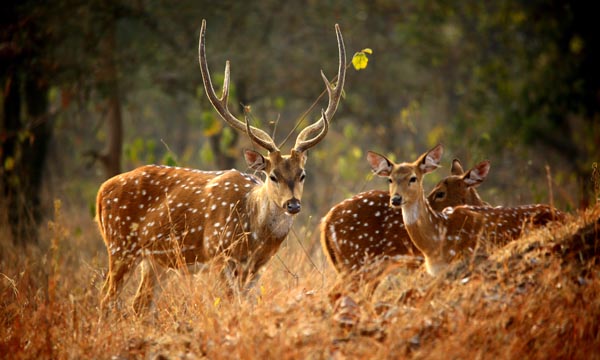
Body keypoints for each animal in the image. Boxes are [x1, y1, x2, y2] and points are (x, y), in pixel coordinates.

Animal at [97, 20, 346, 312]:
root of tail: (102, 191)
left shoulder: (256, 268)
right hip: (119, 244)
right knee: (106, 298)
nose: (293, 204)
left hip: (155, 260)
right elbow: (229, 303)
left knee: (139, 304)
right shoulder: (218, 253)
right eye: (272, 175)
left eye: (302, 174)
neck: (255, 236)